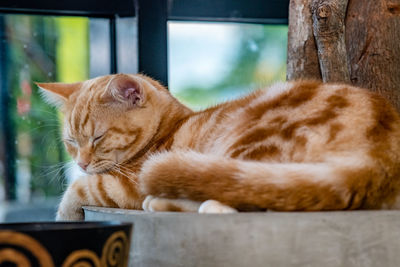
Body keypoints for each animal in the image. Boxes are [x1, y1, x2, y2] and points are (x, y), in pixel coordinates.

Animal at [38, 73, 400, 220]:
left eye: (97, 138)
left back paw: (162, 202)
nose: (82, 162)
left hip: (247, 149)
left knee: (240, 200)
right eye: (71, 142)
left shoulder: (127, 184)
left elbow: (80, 187)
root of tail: (378, 154)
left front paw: (65, 214)